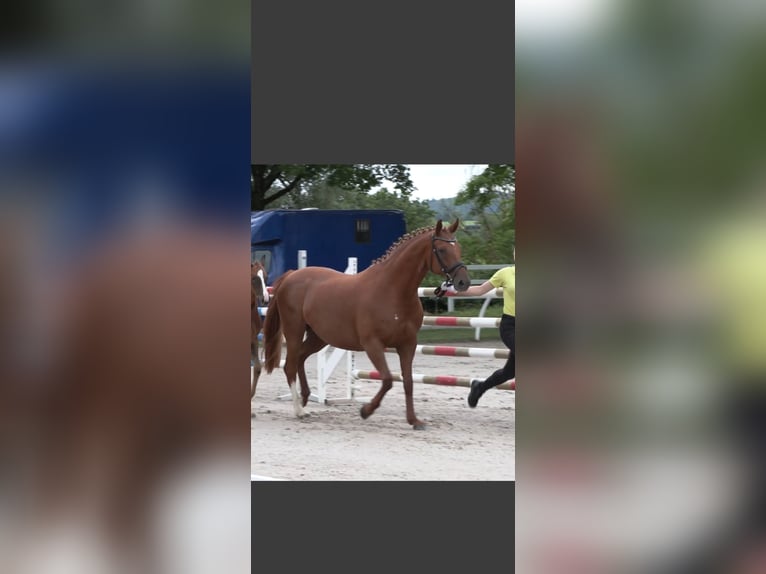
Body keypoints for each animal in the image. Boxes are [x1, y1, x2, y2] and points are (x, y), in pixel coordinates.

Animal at [264, 220, 472, 432]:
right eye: (442, 249)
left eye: (459, 249)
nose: (463, 282)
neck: (393, 291)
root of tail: (291, 276)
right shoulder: (373, 344)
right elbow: (387, 380)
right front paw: (366, 411)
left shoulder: (407, 345)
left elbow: (408, 382)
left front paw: (414, 420)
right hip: (294, 331)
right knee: (290, 365)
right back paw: (299, 410)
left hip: (319, 337)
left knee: (300, 358)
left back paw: (305, 398)